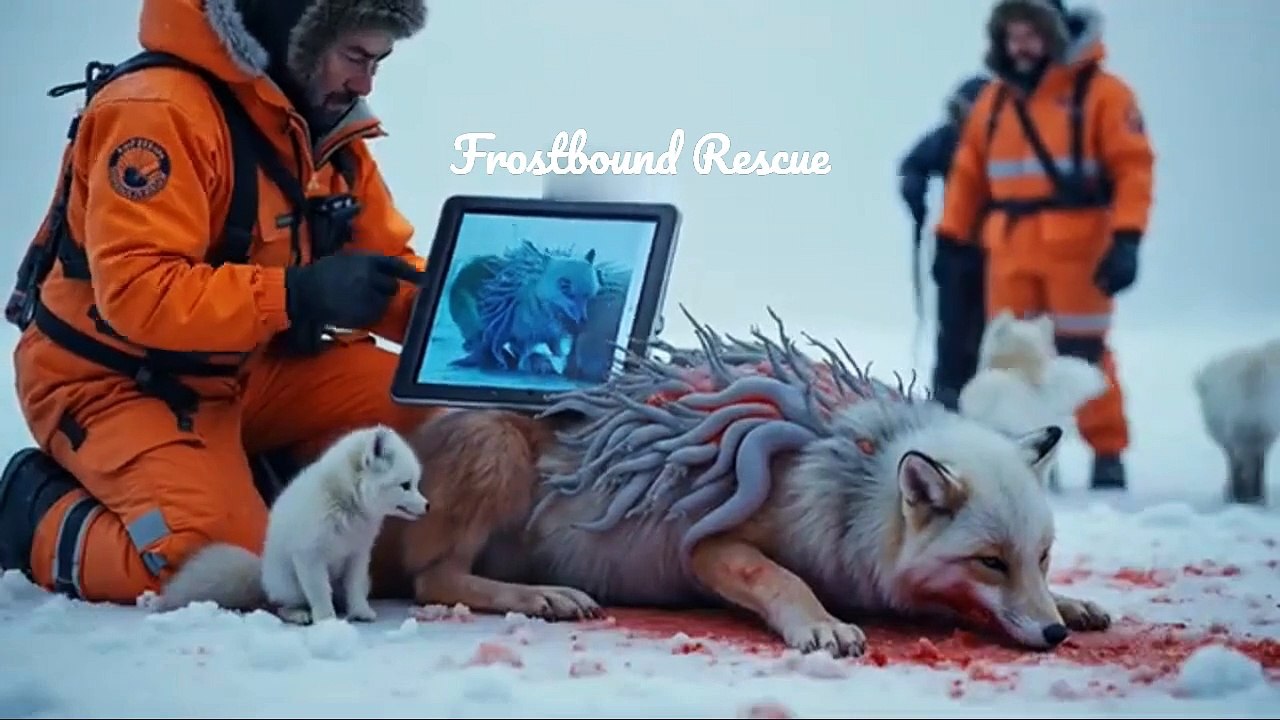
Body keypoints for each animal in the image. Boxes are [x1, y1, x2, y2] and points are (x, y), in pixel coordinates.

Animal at [151, 425, 429, 624]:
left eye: (415, 483)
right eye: (405, 485)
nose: (427, 506)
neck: (343, 503)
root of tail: (262, 575)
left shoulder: (357, 556)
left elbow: (355, 589)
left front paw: (360, 612)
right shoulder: (309, 556)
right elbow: (320, 594)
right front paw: (327, 621)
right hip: (290, 584)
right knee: (281, 606)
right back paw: (299, 614)